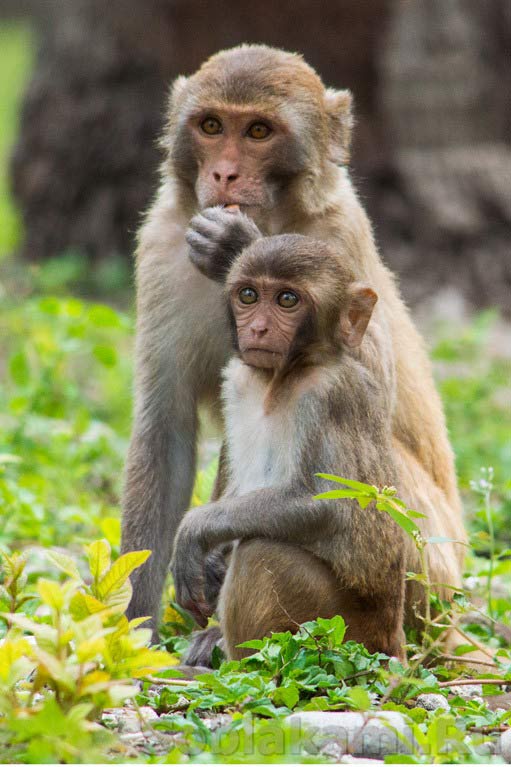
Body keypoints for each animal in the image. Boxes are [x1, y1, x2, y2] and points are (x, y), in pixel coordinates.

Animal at [172, 206, 416, 660]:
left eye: (288, 299)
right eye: (249, 295)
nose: (259, 329)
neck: (279, 379)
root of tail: (392, 641)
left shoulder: (328, 396)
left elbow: (328, 506)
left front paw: (196, 530)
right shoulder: (238, 379)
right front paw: (210, 556)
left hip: (342, 631)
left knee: (261, 552)